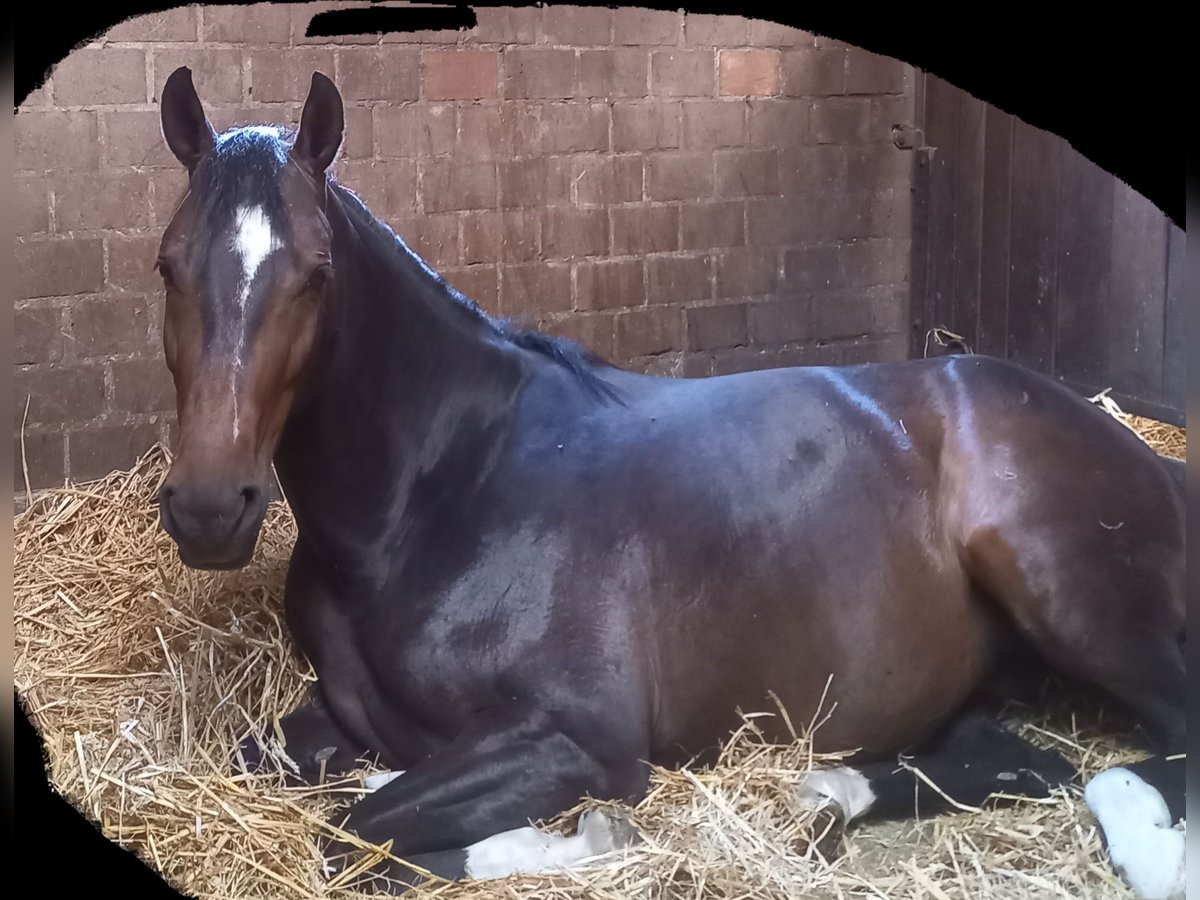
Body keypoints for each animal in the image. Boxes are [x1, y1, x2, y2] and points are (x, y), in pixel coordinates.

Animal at [147, 68, 1180, 897]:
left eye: (315, 274)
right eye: (166, 266)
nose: (209, 508)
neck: (442, 491)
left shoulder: (576, 741)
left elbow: (353, 834)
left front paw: (581, 842)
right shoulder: (340, 720)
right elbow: (295, 769)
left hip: (1072, 598)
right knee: (1003, 755)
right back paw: (827, 791)